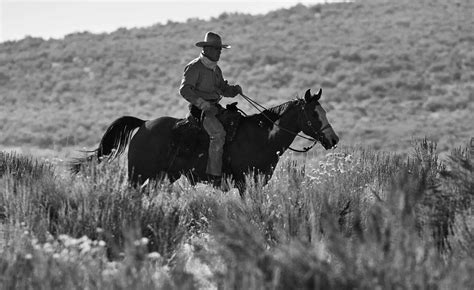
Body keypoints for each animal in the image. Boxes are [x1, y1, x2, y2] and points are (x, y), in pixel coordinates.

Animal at [72, 88, 338, 193]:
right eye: (314, 113)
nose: (333, 139)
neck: (262, 137)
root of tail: (144, 124)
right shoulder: (244, 183)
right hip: (138, 176)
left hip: (158, 178)